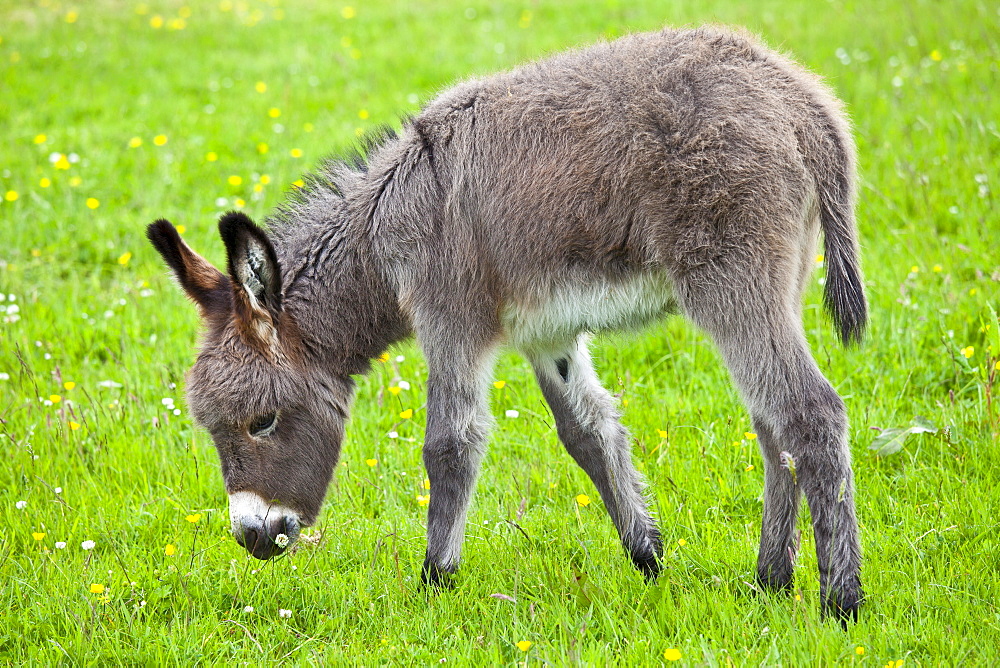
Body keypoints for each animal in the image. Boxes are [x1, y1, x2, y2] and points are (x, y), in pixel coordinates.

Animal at [148, 26, 868, 620]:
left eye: (262, 422)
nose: (252, 538)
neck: (385, 232)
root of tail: (802, 100)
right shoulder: (548, 336)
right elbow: (589, 433)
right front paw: (647, 558)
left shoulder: (450, 321)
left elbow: (450, 445)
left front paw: (434, 582)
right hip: (774, 282)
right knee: (772, 422)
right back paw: (771, 579)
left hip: (732, 279)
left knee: (809, 413)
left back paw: (841, 602)